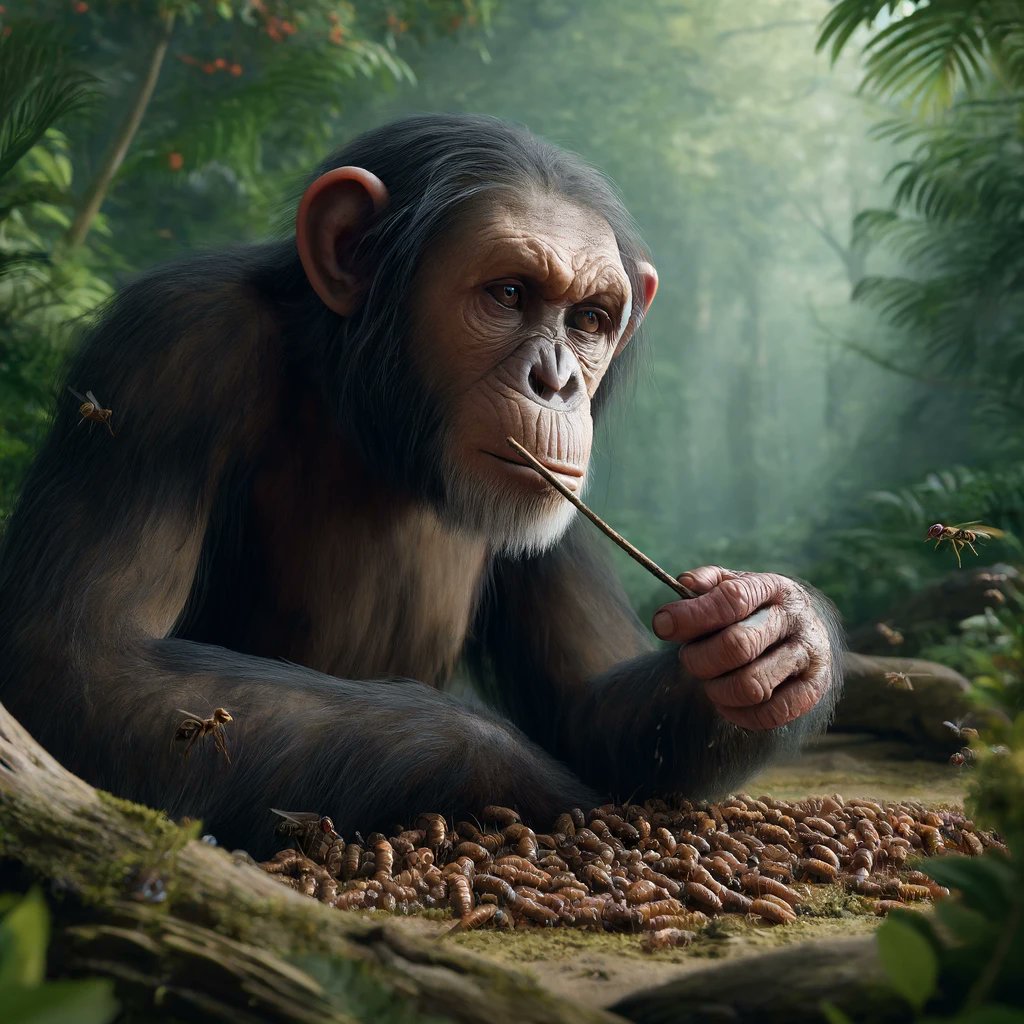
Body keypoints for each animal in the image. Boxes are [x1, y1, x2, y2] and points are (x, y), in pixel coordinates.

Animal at [0, 113, 843, 856]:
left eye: (589, 319)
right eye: (509, 293)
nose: (557, 381)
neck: (371, 423)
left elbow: (587, 705)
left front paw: (776, 635)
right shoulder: (169, 351)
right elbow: (85, 663)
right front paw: (538, 781)